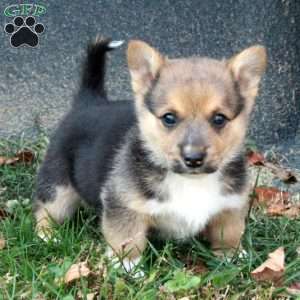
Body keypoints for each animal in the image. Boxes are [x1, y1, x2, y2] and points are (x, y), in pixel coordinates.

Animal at [34, 37, 268, 272]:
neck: (190, 181)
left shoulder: (231, 205)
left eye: (219, 119)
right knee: (45, 210)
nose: (193, 159)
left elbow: (229, 233)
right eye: (169, 118)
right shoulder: (124, 206)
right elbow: (128, 239)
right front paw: (128, 266)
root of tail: (89, 101)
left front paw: (232, 257)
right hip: (58, 186)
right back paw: (48, 236)